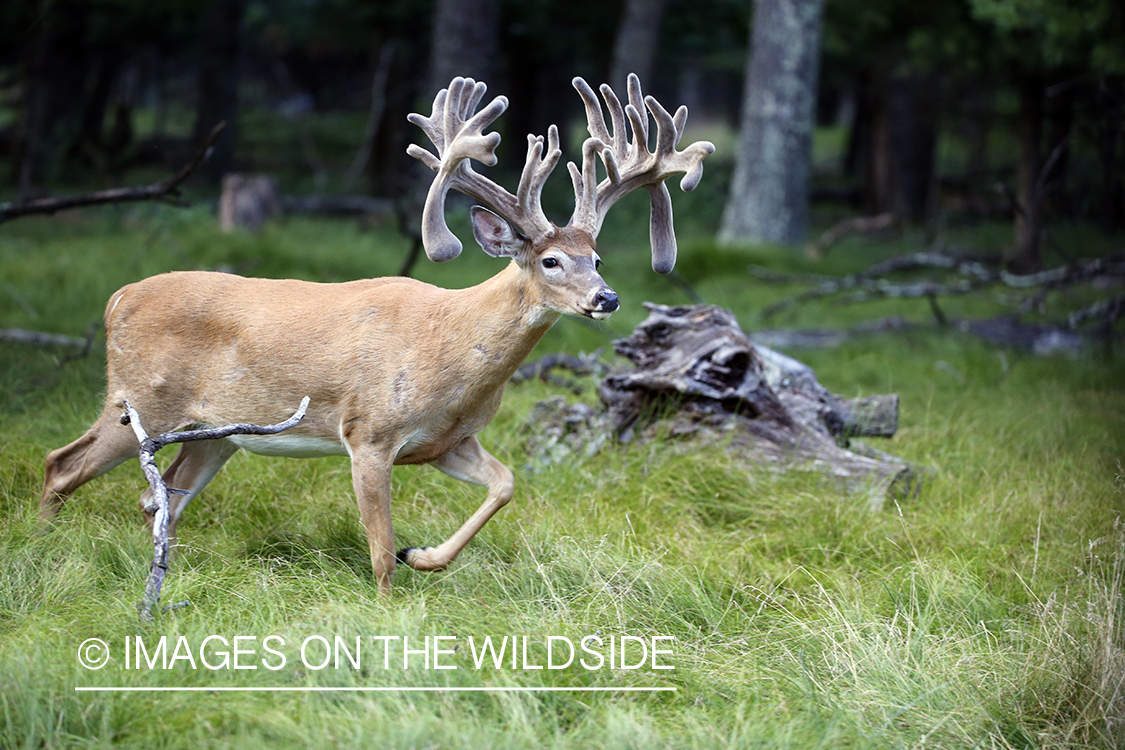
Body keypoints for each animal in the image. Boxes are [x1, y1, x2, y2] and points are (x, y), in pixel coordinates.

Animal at [43, 73, 715, 593]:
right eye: (551, 260)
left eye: (596, 257)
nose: (608, 297)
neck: (449, 351)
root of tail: (118, 297)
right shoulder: (368, 431)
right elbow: (377, 546)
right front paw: (390, 606)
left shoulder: (446, 442)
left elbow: (504, 484)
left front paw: (426, 557)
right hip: (139, 400)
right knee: (62, 464)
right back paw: (44, 549)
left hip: (218, 435)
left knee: (159, 498)